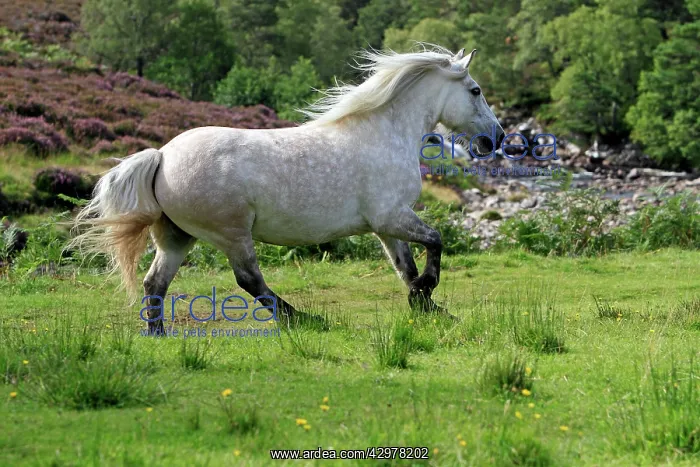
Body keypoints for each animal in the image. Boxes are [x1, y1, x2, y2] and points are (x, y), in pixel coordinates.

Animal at [71, 45, 505, 334]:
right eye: (476, 90)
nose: (496, 139)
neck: (384, 132)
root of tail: (161, 155)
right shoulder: (391, 216)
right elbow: (435, 240)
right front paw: (425, 293)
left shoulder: (386, 225)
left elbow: (405, 267)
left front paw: (427, 306)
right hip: (231, 233)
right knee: (248, 280)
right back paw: (304, 318)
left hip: (176, 237)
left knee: (155, 283)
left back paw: (158, 333)